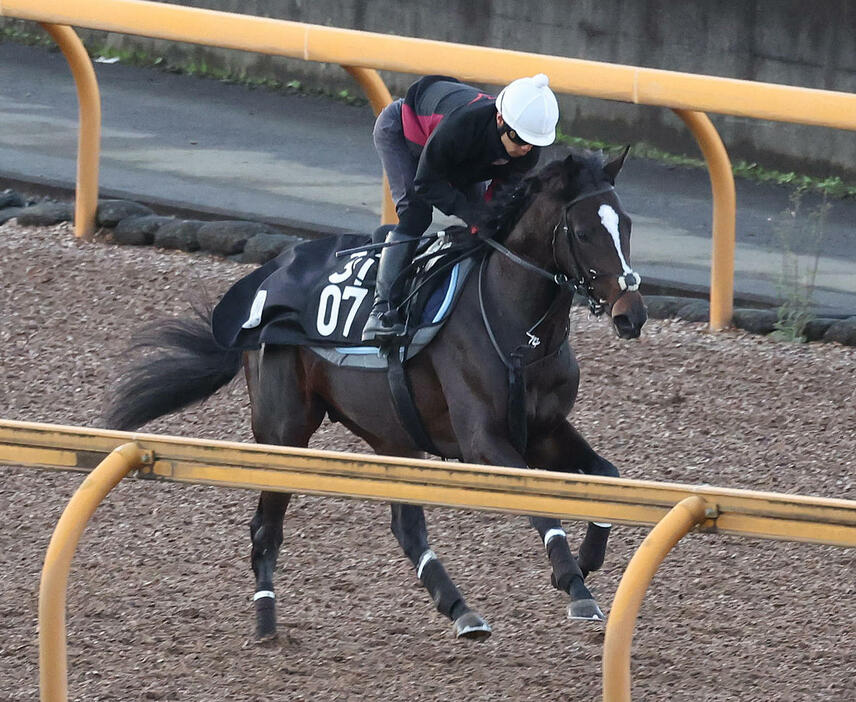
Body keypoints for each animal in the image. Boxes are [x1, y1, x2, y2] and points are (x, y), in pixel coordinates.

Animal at [102, 148, 648, 644]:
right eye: (584, 232)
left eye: (625, 225)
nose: (632, 314)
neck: (517, 330)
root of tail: (263, 281)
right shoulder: (483, 442)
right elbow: (540, 506)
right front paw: (575, 586)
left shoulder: (544, 430)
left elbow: (608, 475)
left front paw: (588, 559)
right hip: (284, 432)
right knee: (265, 529)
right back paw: (266, 621)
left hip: (392, 434)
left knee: (406, 527)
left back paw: (460, 609)